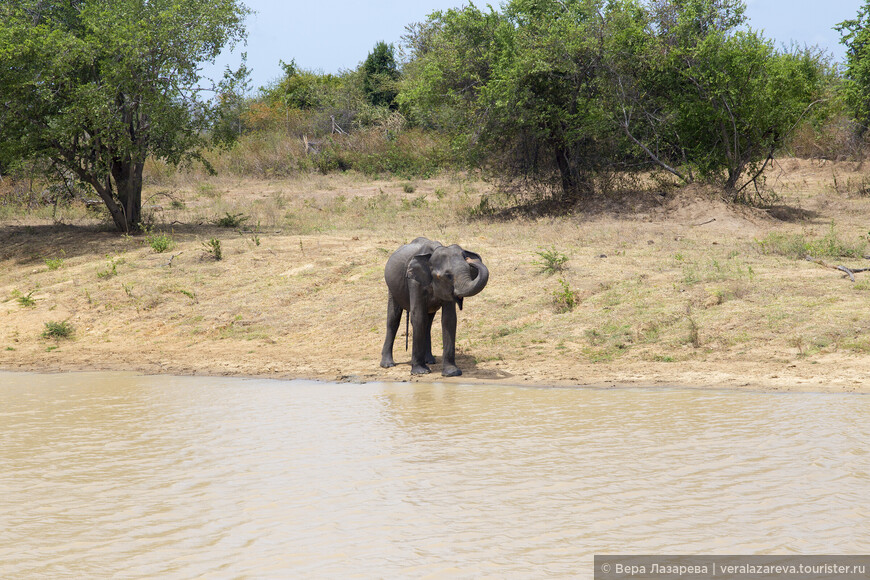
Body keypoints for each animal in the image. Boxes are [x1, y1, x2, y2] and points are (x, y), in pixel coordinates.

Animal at [382, 237, 490, 376]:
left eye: (468, 268)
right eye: (448, 276)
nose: (470, 259)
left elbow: (449, 319)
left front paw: (452, 373)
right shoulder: (414, 281)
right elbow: (418, 316)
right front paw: (420, 372)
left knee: (428, 322)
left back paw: (430, 360)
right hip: (392, 287)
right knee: (393, 319)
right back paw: (388, 364)